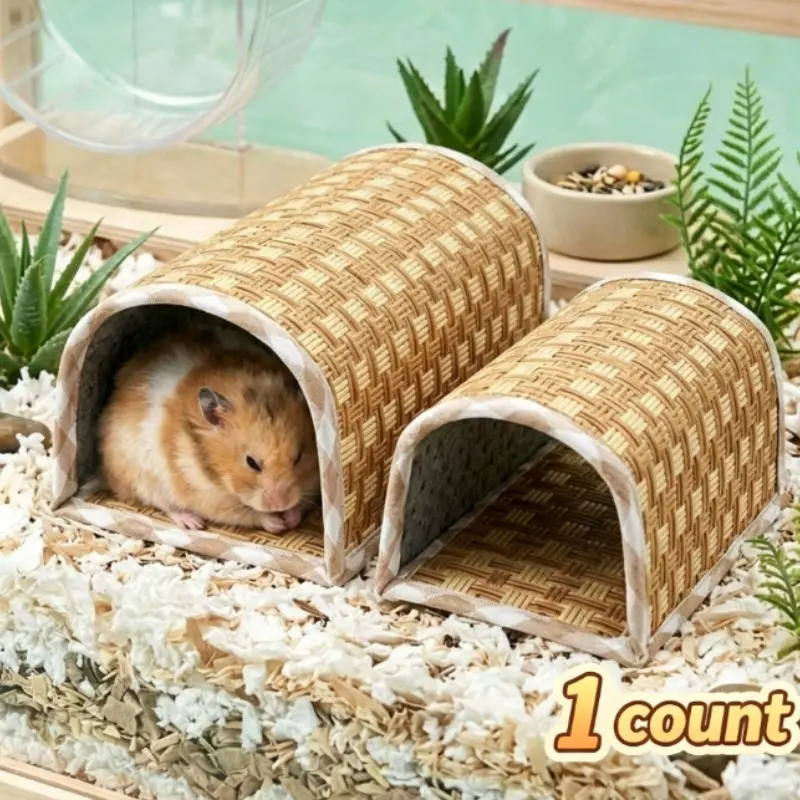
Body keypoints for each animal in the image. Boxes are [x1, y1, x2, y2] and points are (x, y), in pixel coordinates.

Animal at [97, 324, 320, 534]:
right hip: (144, 478)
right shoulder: (208, 497)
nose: (280, 504)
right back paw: (193, 523)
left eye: (298, 457)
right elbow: (247, 515)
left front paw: (290, 517)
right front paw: (277, 523)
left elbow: (302, 502)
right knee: (165, 505)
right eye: (251, 462)